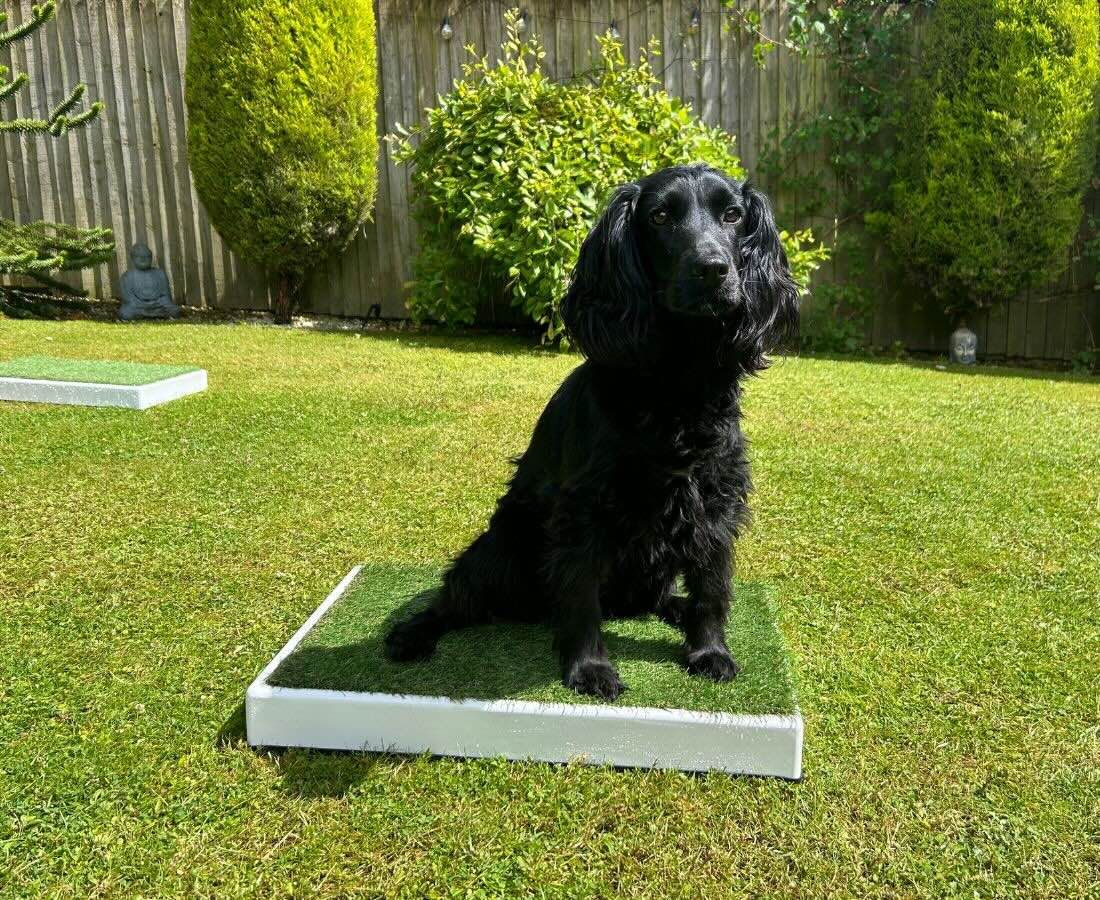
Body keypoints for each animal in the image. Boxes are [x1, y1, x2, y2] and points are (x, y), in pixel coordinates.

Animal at [387, 165, 800, 699]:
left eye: (732, 214)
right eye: (660, 217)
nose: (713, 269)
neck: (674, 383)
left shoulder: (714, 501)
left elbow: (712, 588)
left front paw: (710, 651)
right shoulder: (585, 510)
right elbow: (582, 598)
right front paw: (589, 668)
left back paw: (676, 610)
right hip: (501, 547)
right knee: (454, 599)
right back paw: (412, 632)